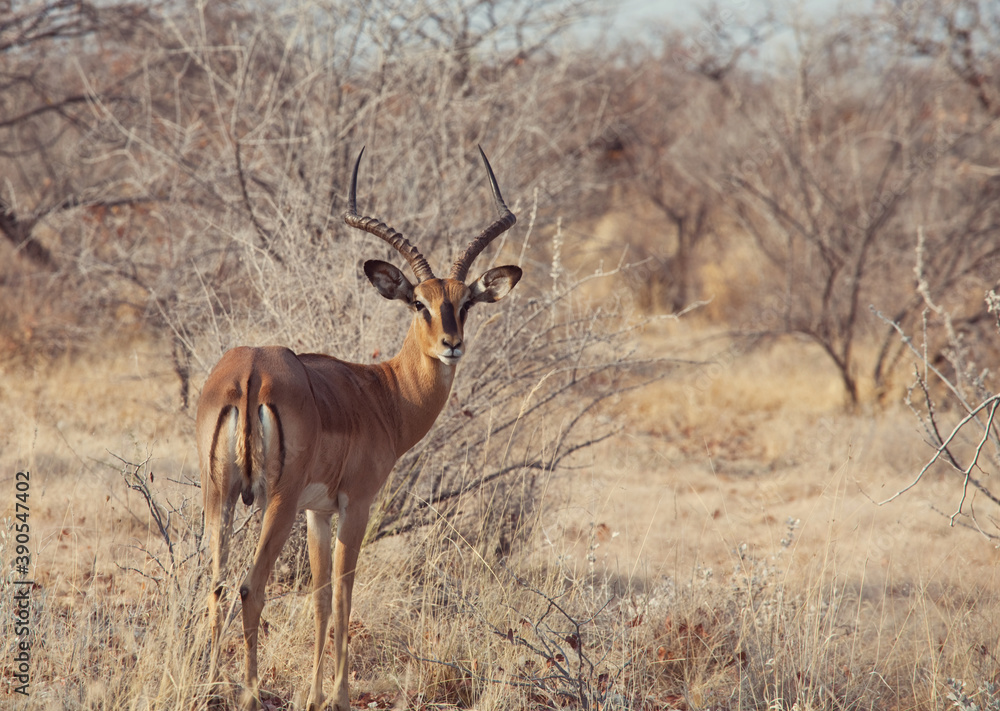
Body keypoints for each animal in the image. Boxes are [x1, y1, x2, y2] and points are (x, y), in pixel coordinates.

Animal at [198, 147, 521, 710]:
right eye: (419, 303)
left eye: (465, 302)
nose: (452, 344)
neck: (382, 394)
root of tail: (250, 371)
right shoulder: (357, 505)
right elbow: (346, 596)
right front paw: (339, 696)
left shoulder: (318, 513)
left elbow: (321, 598)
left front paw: (312, 696)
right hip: (274, 501)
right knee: (249, 588)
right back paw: (250, 693)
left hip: (219, 494)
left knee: (216, 586)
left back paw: (213, 686)